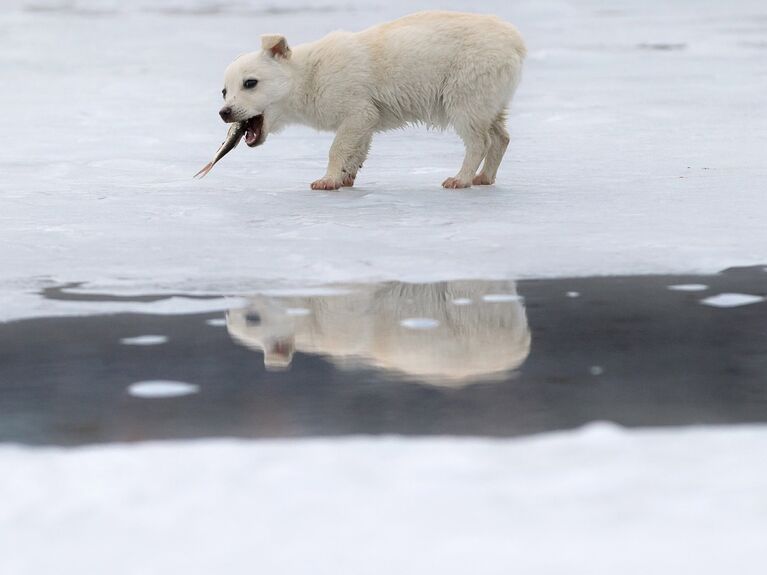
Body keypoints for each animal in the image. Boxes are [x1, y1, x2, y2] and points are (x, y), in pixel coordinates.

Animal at [219, 9, 524, 189]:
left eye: (250, 83)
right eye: (224, 90)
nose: (225, 112)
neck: (307, 76)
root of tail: (516, 42)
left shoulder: (352, 103)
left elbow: (339, 145)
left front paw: (326, 180)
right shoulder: (366, 114)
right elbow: (360, 143)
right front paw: (346, 177)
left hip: (468, 85)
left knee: (478, 138)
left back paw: (460, 179)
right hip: (490, 94)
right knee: (500, 134)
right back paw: (484, 177)